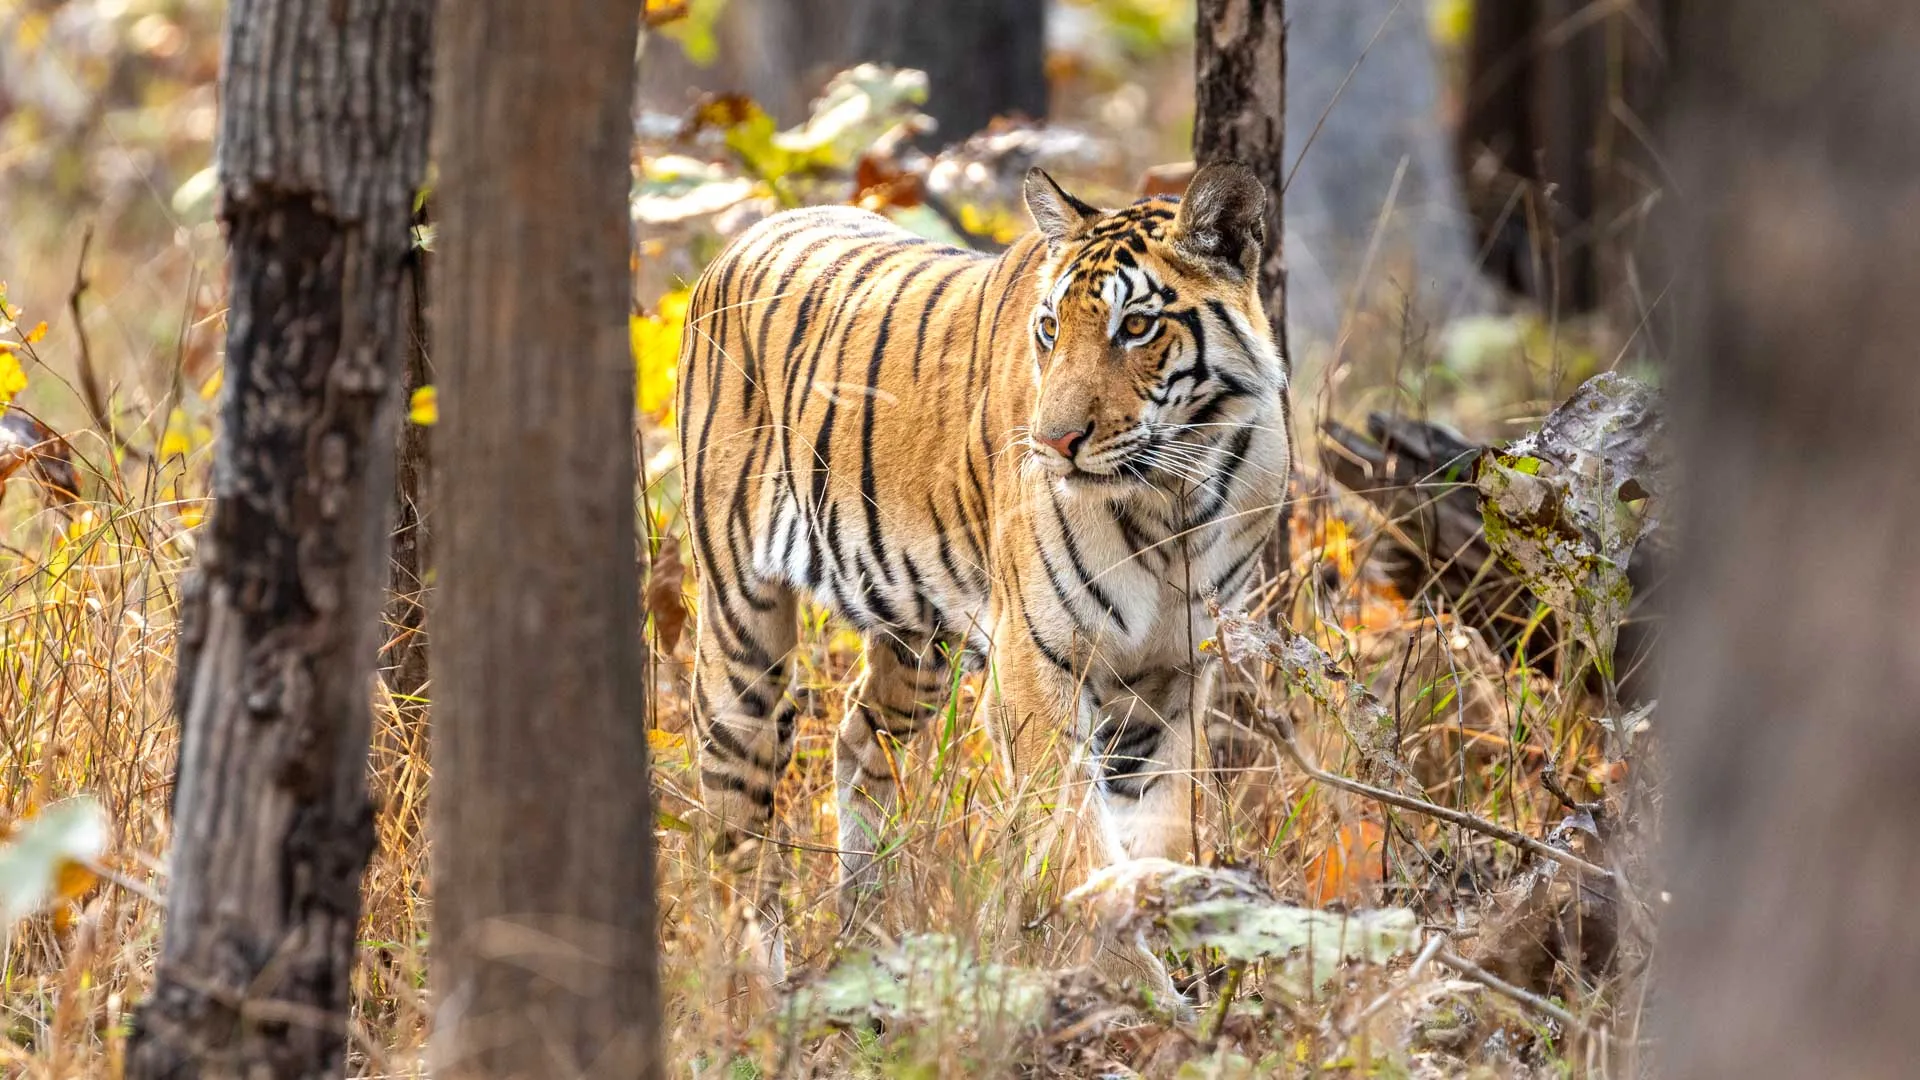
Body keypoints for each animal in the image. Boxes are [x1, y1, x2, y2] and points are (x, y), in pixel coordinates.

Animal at [677, 163, 1291, 992]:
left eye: (1135, 328)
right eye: (1050, 328)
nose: (1054, 442)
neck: (1174, 499)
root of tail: (744, 238)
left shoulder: (1169, 677)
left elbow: (1154, 834)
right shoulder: (1035, 664)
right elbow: (1079, 845)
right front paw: (1135, 991)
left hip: (915, 638)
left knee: (859, 736)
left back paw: (868, 926)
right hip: (741, 629)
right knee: (734, 812)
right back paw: (755, 989)